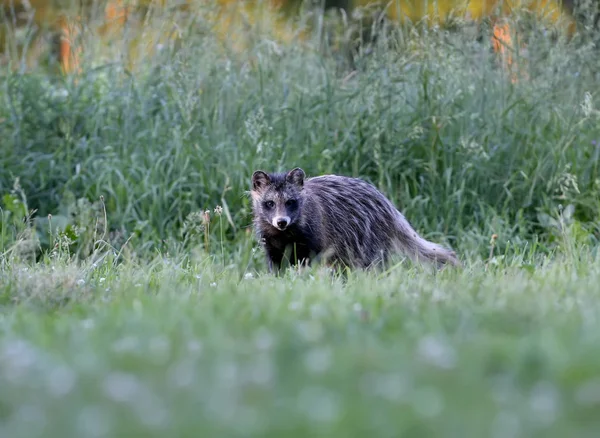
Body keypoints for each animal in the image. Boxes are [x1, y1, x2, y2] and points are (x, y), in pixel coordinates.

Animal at [248, 167, 460, 272]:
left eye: (290, 202)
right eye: (270, 203)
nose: (281, 221)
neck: (285, 233)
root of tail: (388, 206)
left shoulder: (313, 232)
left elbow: (309, 260)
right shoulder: (271, 240)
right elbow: (276, 264)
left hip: (368, 234)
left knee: (369, 264)